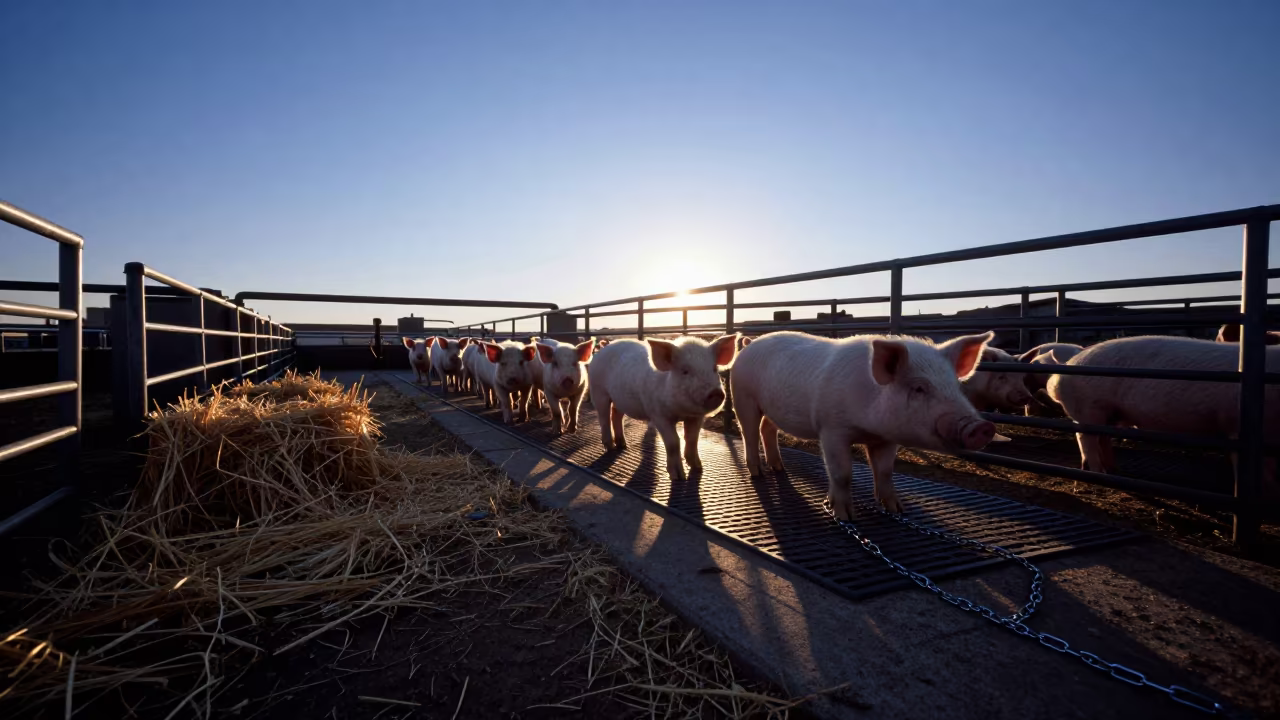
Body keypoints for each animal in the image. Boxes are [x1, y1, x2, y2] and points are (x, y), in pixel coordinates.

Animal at [588, 334, 739, 481]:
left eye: (714, 369)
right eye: (685, 371)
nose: (716, 393)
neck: (682, 412)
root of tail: (602, 350)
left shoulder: (696, 417)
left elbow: (692, 438)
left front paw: (698, 468)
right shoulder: (658, 414)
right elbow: (673, 441)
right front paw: (678, 477)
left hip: (619, 399)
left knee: (616, 415)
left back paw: (623, 445)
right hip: (598, 391)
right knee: (603, 418)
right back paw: (610, 447)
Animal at [730, 331, 997, 520]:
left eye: (956, 386)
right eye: (919, 388)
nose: (982, 428)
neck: (869, 427)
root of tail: (749, 343)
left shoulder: (887, 438)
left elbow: (885, 471)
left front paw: (897, 510)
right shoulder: (831, 429)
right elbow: (842, 474)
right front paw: (845, 517)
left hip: (770, 408)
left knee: (767, 429)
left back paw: (779, 468)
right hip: (743, 397)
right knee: (749, 432)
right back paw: (758, 472)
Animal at [1047, 336, 1279, 498]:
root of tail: (1067, 366)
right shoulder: (1238, 428)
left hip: (1108, 414)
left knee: (1102, 439)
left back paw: (1115, 471)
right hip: (1090, 409)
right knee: (1086, 440)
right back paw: (1098, 475)